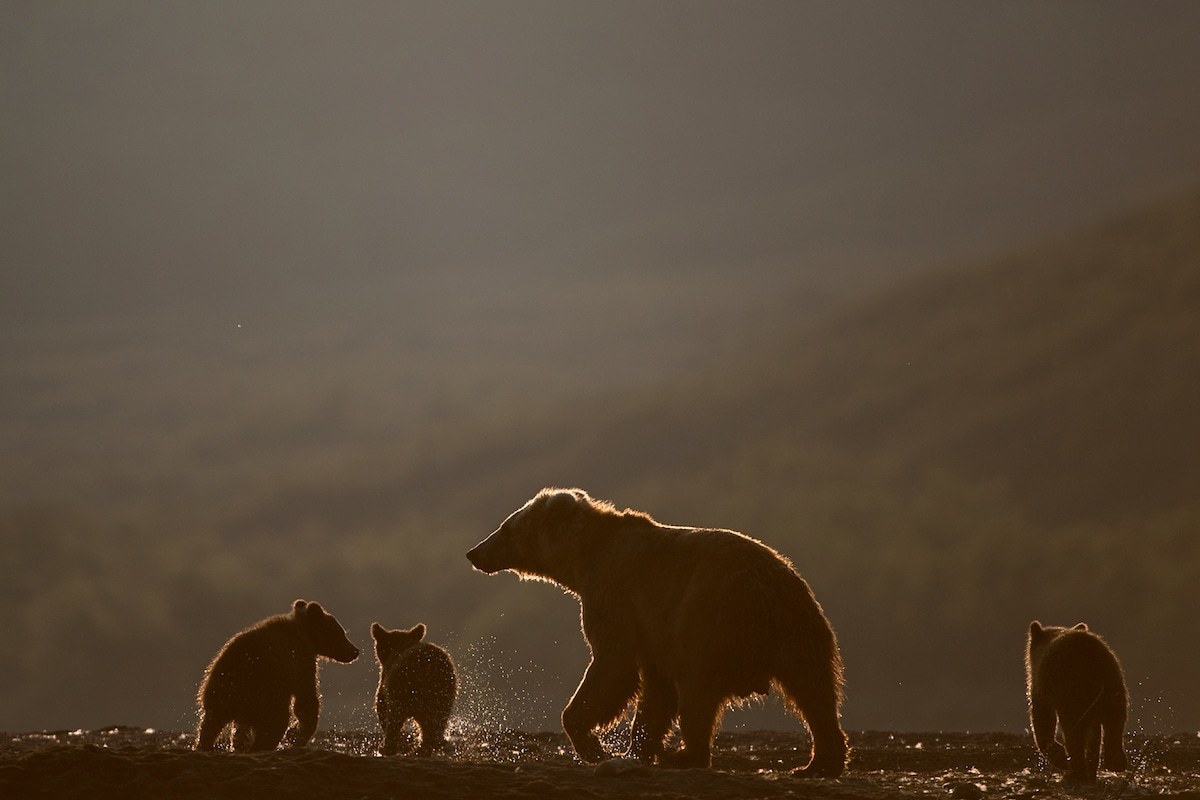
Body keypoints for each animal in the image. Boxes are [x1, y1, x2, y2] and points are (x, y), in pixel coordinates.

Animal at [463, 489, 849, 777]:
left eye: (506, 527)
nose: (473, 552)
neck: (584, 558)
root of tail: (765, 593)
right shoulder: (653, 630)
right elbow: (656, 691)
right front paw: (636, 748)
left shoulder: (617, 595)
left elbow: (613, 665)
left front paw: (595, 745)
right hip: (798, 628)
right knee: (814, 692)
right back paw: (819, 762)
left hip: (711, 622)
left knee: (699, 691)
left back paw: (684, 755)